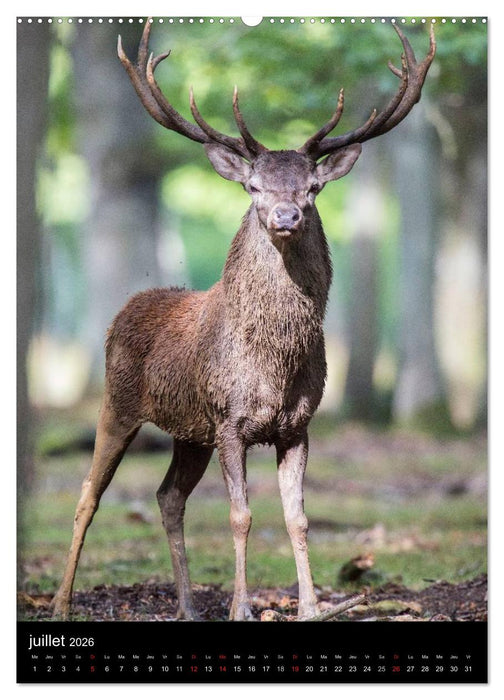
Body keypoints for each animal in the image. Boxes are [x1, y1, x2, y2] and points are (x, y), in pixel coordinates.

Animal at [51, 19, 435, 621]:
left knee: (168, 497)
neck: (274, 363)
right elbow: (241, 516)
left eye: (313, 187)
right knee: (89, 492)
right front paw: (241, 608)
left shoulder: (297, 425)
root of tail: (124, 310)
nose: (286, 214)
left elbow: (297, 518)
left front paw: (311, 607)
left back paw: (187, 607)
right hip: (118, 402)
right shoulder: (229, 419)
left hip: (190, 432)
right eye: (254, 186)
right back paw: (62, 603)